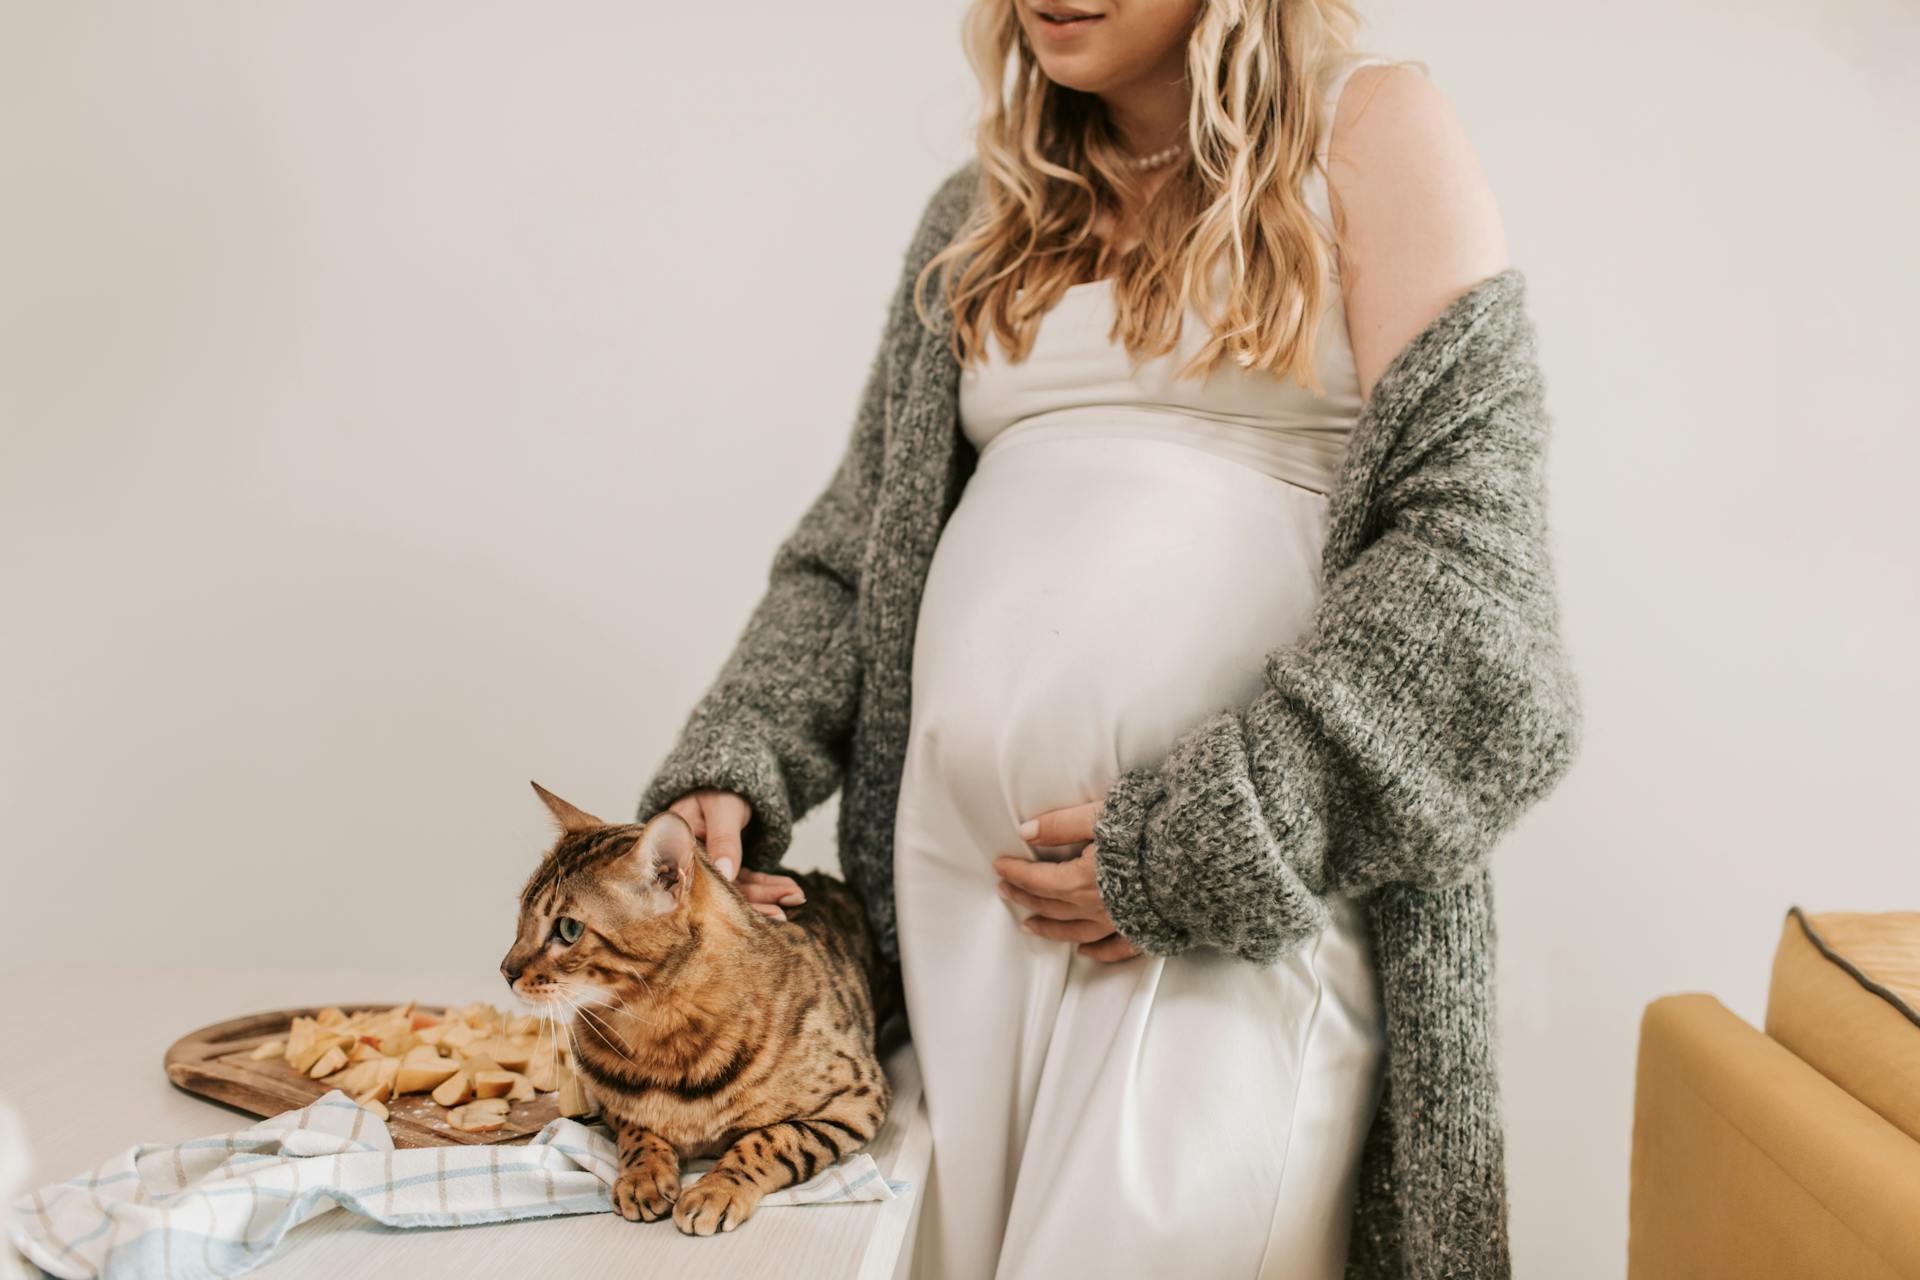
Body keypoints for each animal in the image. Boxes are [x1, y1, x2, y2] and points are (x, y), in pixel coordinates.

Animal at [499, 786, 894, 1235]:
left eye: (568, 930)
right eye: (521, 917)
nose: (505, 971)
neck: (656, 1032)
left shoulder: (856, 1097)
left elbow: (770, 1141)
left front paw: (715, 1190)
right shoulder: (613, 1105)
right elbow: (637, 1131)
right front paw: (643, 1175)